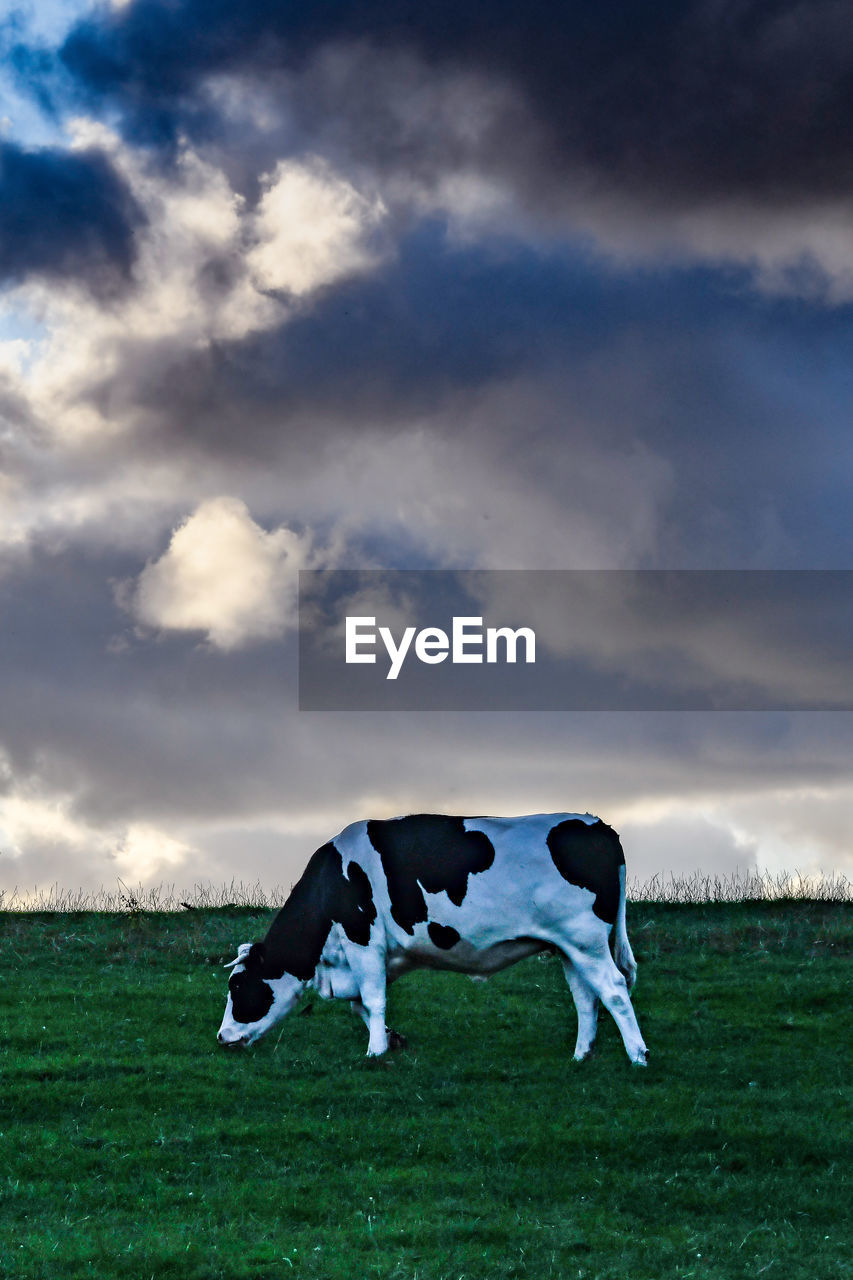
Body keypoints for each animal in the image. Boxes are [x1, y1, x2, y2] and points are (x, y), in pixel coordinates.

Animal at [213, 808, 645, 1070]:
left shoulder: (362, 939)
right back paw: (581, 1056)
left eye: (238, 986)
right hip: (570, 946)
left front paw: (374, 1052)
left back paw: (637, 1056)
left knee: (613, 988)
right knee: (586, 995)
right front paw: (391, 1039)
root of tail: (597, 824)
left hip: (585, 940)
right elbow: (361, 1005)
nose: (221, 1038)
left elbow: (372, 999)